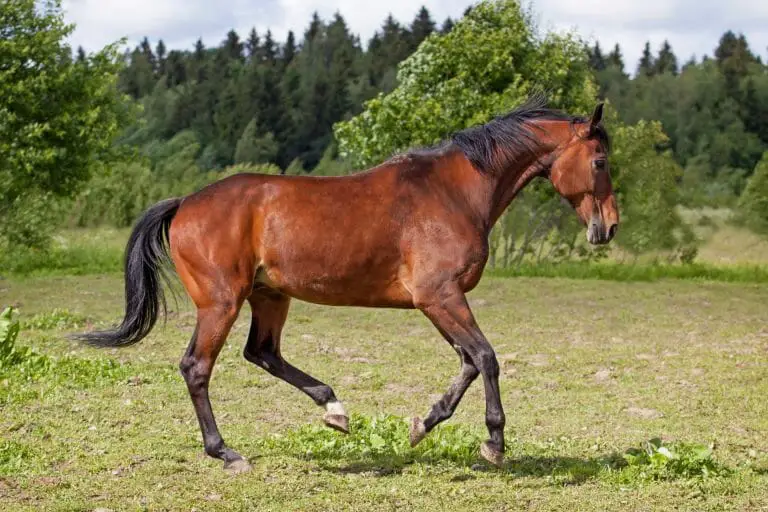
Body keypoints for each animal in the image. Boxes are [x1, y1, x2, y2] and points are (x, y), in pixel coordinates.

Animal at [75, 97, 618, 473]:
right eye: (600, 162)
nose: (608, 228)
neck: (454, 191)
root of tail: (185, 202)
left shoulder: (439, 301)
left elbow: (467, 361)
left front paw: (422, 425)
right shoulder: (439, 296)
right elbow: (485, 357)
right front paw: (494, 444)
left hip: (270, 296)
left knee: (263, 353)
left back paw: (334, 410)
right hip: (220, 303)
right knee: (197, 367)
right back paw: (228, 452)